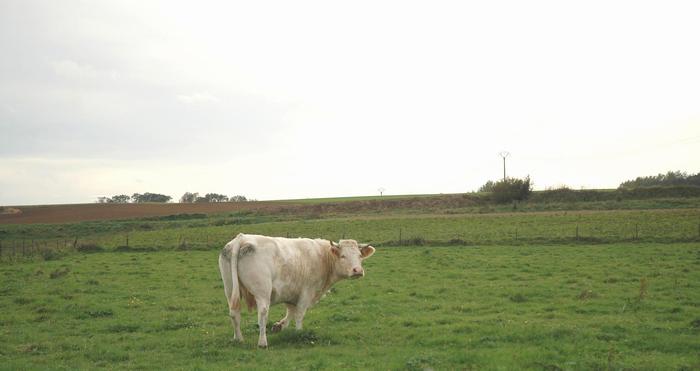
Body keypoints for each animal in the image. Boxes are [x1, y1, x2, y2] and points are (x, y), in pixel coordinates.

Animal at [217, 234, 374, 348]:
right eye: (343, 256)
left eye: (360, 256)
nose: (357, 270)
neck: (322, 257)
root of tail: (241, 238)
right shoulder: (306, 292)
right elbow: (299, 314)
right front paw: (299, 332)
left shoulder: (291, 293)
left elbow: (290, 312)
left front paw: (280, 326)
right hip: (262, 291)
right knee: (262, 314)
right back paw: (262, 342)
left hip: (229, 288)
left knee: (234, 313)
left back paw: (238, 339)